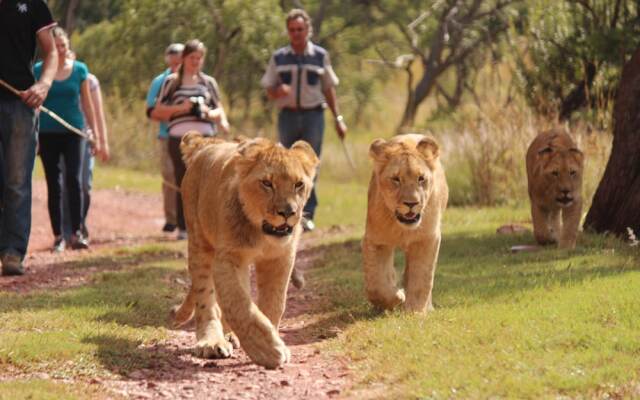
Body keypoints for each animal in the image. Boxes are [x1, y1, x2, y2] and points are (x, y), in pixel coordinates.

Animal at [172, 131, 318, 368]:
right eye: (267, 183)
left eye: (298, 184)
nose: (288, 212)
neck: (263, 234)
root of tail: (208, 143)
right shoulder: (227, 258)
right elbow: (239, 304)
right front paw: (268, 350)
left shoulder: (280, 258)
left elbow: (274, 303)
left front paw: (270, 336)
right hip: (199, 241)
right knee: (206, 298)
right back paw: (211, 342)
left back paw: (230, 336)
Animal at [362, 134, 448, 312]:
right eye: (396, 179)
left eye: (421, 179)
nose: (411, 203)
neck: (402, 228)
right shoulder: (376, 240)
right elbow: (376, 285)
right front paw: (397, 296)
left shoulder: (427, 239)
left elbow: (422, 277)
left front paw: (415, 311)